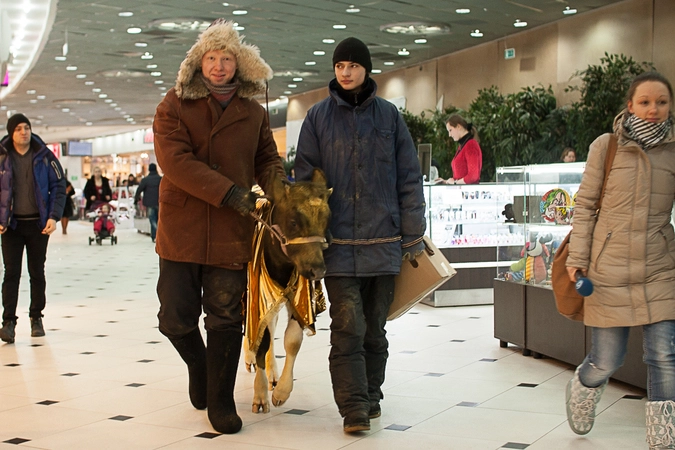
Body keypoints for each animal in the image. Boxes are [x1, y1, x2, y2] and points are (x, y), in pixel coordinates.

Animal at [244, 168, 332, 413]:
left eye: (326, 220)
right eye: (293, 222)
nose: (317, 269)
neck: (281, 265)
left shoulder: (299, 298)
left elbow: (292, 339)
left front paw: (282, 391)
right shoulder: (257, 294)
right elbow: (261, 338)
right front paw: (260, 396)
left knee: (272, 323)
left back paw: (273, 373)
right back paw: (249, 357)